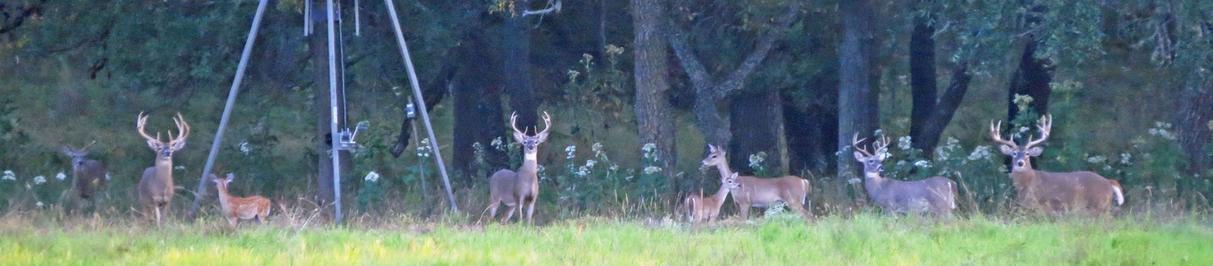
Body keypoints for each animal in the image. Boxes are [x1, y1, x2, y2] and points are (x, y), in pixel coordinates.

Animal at [989, 114, 1120, 213]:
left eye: (1027, 154)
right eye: (1014, 153)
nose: (1020, 163)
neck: (1028, 183)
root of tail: (1108, 182)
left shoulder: (1042, 205)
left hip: (1099, 205)